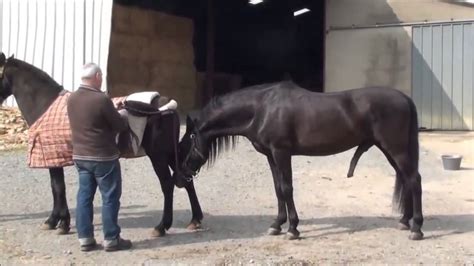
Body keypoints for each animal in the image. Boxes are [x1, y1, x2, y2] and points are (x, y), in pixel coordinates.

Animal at [0, 52, 202, 237]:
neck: (45, 104)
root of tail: (166, 105)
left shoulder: (52, 157)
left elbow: (57, 188)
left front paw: (58, 222)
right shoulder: (55, 158)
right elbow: (57, 187)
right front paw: (56, 221)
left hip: (158, 155)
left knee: (167, 185)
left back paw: (161, 227)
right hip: (169, 154)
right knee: (186, 179)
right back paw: (195, 219)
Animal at [180, 80, 424, 239]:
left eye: (185, 142)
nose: (182, 177)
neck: (262, 108)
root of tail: (405, 98)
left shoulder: (281, 152)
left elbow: (287, 188)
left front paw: (293, 229)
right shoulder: (271, 156)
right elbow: (278, 189)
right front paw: (277, 225)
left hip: (396, 149)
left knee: (414, 180)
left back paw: (417, 229)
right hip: (390, 150)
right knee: (406, 179)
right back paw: (405, 221)